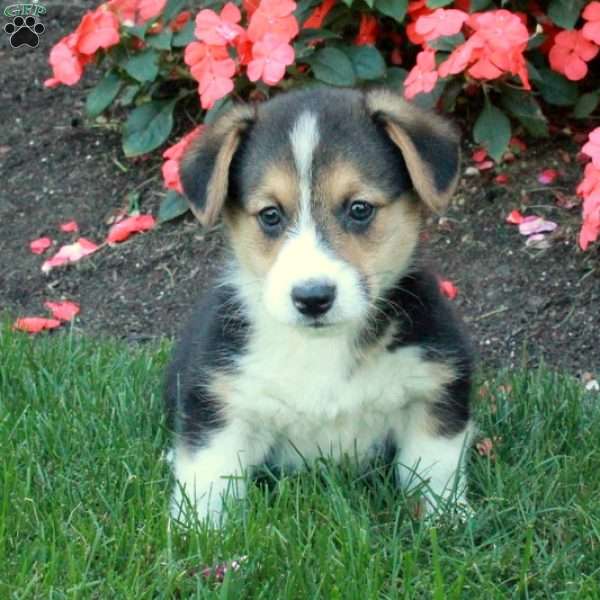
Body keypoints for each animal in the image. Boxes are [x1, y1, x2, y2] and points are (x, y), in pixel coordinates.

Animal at [165, 85, 474, 524]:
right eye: (270, 215)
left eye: (359, 208)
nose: (313, 298)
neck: (321, 349)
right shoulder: (220, 404)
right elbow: (206, 482)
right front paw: (197, 533)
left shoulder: (435, 388)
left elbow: (436, 470)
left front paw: (448, 521)